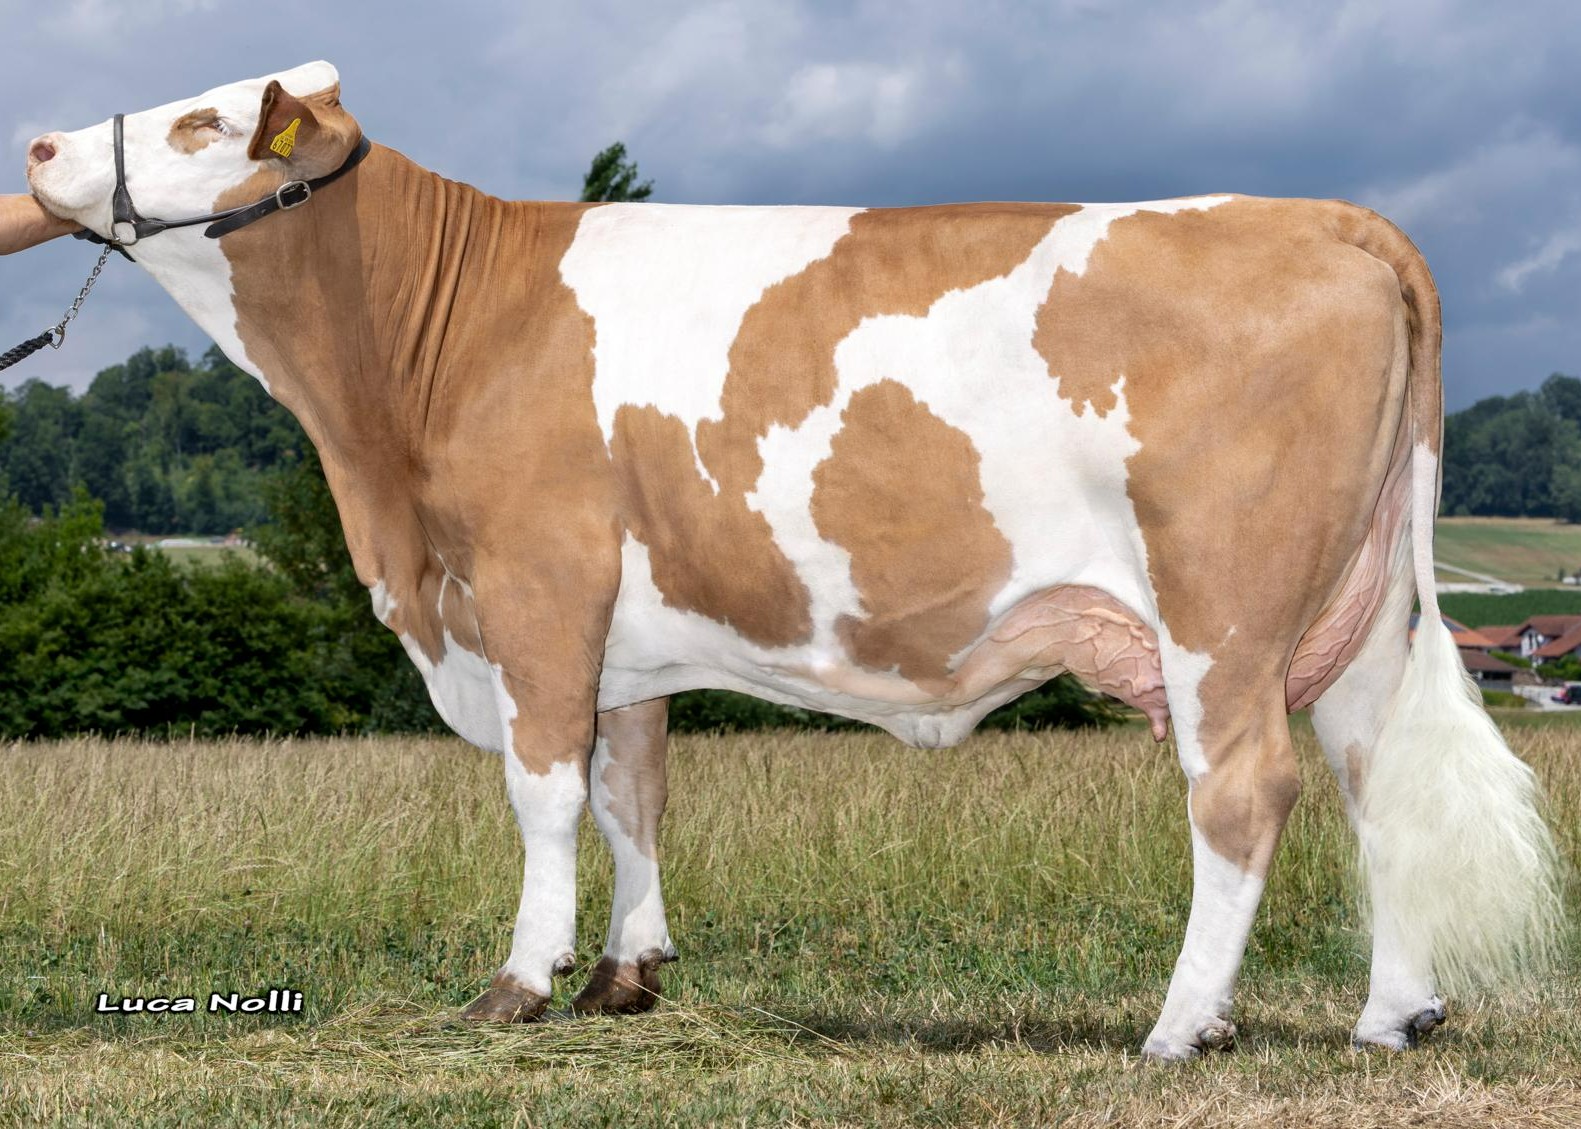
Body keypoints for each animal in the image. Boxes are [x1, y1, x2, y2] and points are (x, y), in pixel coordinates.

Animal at [24, 61, 1560, 1059]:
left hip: (1222, 611)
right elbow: (633, 788)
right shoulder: (623, 630)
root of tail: (1321, 213)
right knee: (1372, 777)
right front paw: (628, 975)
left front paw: (522, 983)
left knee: (1247, 790)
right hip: (1354, 607)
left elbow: (544, 793)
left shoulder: (534, 586)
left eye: (204, 118)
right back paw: (1392, 1014)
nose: (38, 149)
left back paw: (1181, 1025)